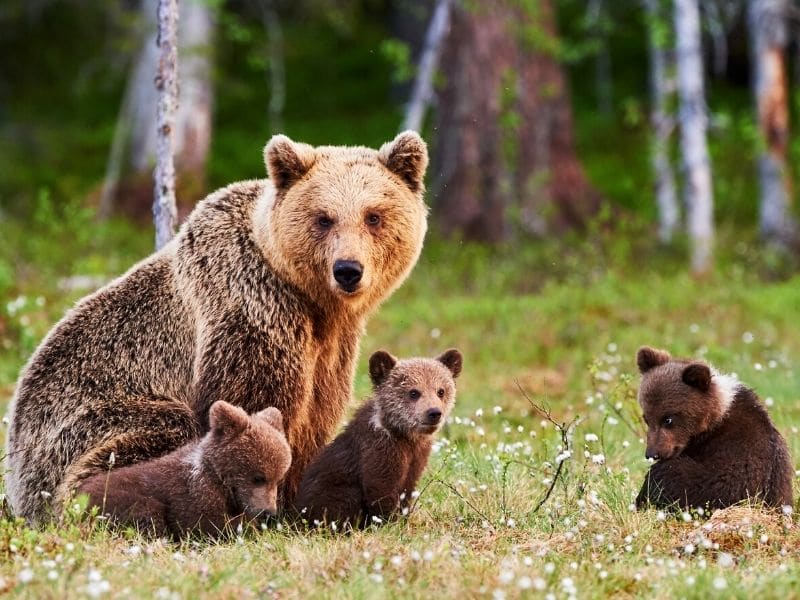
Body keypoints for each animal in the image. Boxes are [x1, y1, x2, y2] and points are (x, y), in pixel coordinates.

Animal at [4, 130, 432, 520]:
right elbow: (253, 404)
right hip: (82, 426)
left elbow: (316, 415)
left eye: (373, 216)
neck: (309, 299)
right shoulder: (251, 308)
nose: (347, 270)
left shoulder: (332, 345)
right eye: (323, 218)